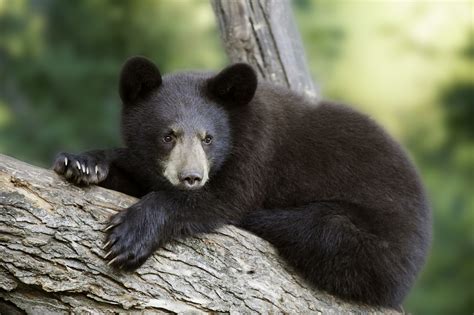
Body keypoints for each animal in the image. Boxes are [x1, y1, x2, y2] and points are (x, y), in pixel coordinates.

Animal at [53, 56, 432, 308]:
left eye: (208, 138)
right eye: (168, 136)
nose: (191, 177)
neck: (238, 126)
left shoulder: (257, 153)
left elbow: (223, 199)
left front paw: (129, 236)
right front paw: (83, 164)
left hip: (372, 239)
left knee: (319, 231)